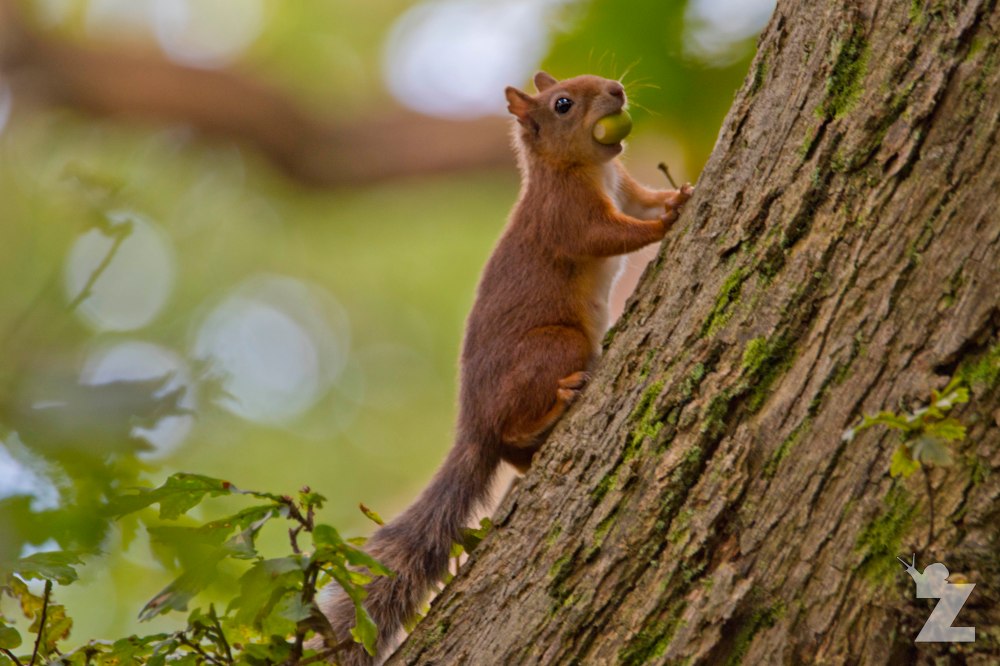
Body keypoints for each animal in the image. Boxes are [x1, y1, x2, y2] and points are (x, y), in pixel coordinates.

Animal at [321, 71, 693, 665]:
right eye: (562, 103)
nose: (616, 88)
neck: (584, 169)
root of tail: (474, 425)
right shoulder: (567, 216)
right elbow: (614, 235)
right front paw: (672, 219)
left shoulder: (627, 188)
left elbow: (645, 203)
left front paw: (680, 195)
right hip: (558, 345)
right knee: (514, 429)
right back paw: (558, 403)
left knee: (513, 453)